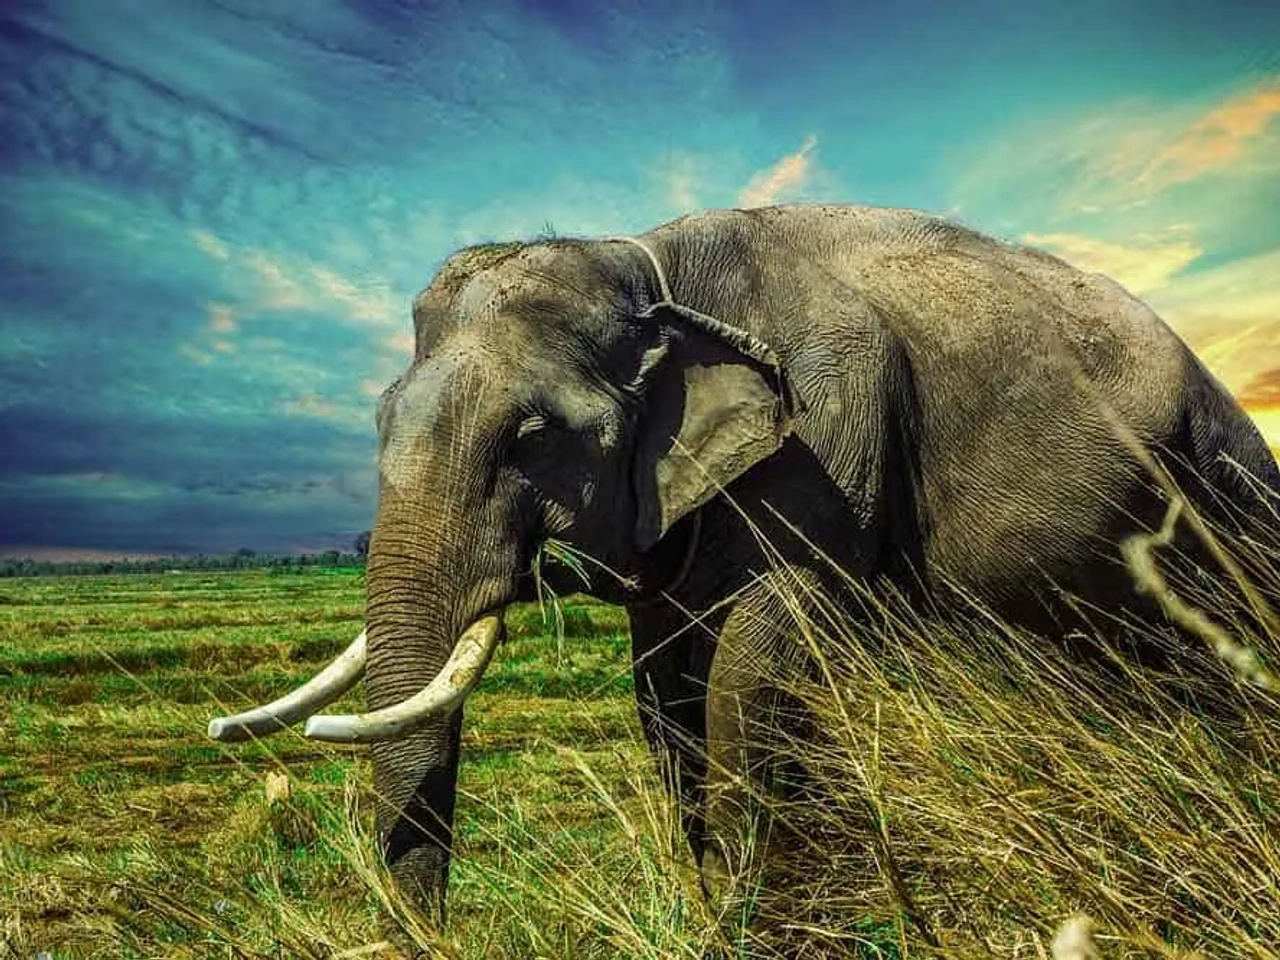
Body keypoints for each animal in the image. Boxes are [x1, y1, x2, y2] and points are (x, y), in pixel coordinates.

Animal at [208, 203, 1280, 938]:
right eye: (379, 420)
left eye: (531, 437)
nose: (432, 935)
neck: (647, 262)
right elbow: (662, 688)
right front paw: (711, 908)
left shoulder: (829, 433)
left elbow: (753, 666)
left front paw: (749, 924)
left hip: (1229, 496)